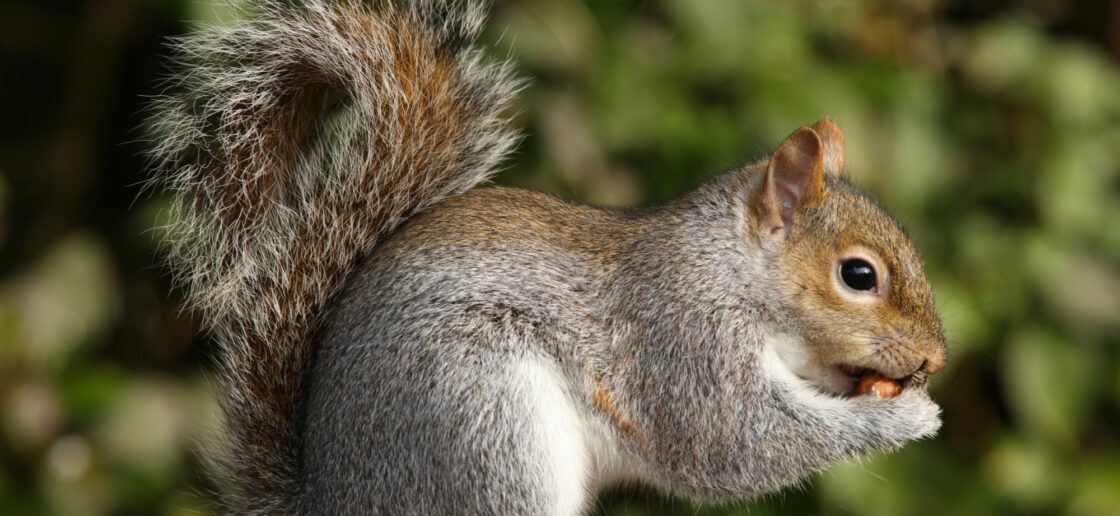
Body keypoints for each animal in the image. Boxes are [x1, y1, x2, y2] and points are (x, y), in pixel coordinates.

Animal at [144, 1, 949, 514]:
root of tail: (331, 500)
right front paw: (905, 419)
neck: (728, 270)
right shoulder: (681, 341)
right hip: (482, 421)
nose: (935, 359)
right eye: (858, 275)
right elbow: (734, 443)